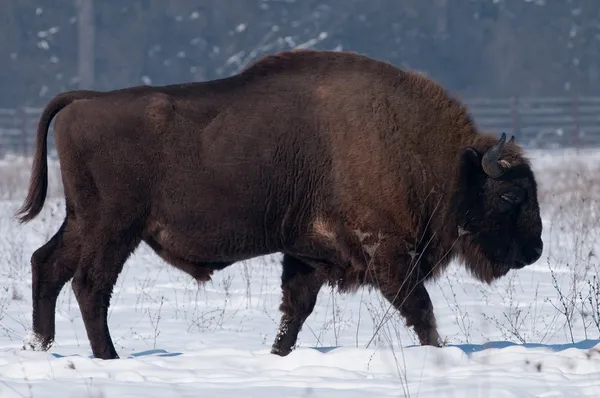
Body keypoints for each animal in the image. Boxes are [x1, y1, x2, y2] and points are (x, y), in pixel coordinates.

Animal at [16, 48, 540, 360]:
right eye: (512, 195)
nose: (534, 250)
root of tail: (84, 101)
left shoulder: (308, 254)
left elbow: (295, 309)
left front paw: (278, 356)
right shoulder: (388, 253)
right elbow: (420, 308)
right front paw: (440, 353)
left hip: (83, 221)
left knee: (48, 264)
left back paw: (41, 346)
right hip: (113, 229)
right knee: (89, 285)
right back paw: (108, 356)